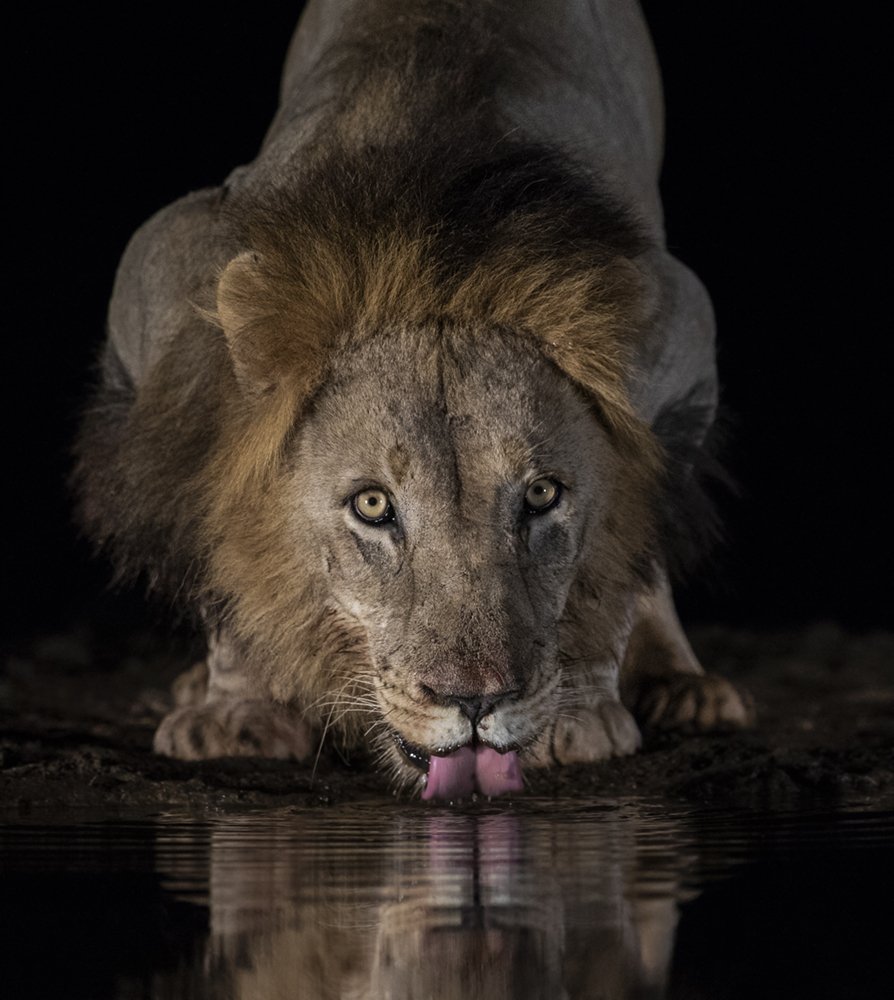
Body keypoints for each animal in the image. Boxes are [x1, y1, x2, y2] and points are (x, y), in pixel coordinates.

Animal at [74, 0, 752, 799]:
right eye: (373, 506)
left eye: (543, 495)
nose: (478, 701)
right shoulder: (165, 297)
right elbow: (220, 527)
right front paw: (240, 714)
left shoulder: (681, 331)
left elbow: (623, 556)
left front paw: (579, 711)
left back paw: (682, 684)